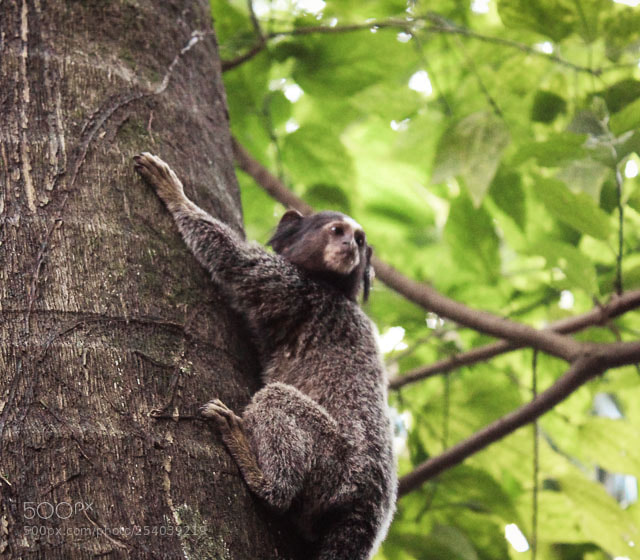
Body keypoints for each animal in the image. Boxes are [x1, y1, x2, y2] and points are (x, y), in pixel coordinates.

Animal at [133, 152, 397, 560]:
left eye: (358, 239)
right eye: (338, 231)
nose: (351, 247)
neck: (333, 288)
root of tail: (368, 505)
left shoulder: (294, 289)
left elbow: (234, 261)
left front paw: (174, 194)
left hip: (338, 467)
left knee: (276, 402)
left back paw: (262, 476)